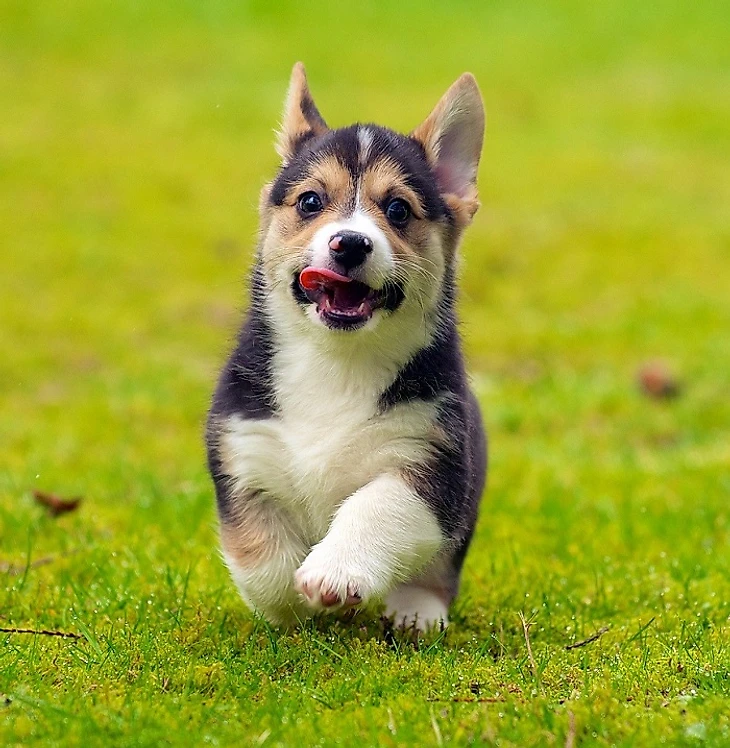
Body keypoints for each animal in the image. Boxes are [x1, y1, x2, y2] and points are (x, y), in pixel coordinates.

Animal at [205, 62, 486, 632]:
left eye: (398, 209)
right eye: (311, 201)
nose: (350, 243)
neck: (336, 358)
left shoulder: (428, 461)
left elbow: (375, 508)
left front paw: (332, 574)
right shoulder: (244, 449)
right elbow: (261, 557)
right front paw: (292, 604)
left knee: (437, 571)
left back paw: (416, 612)